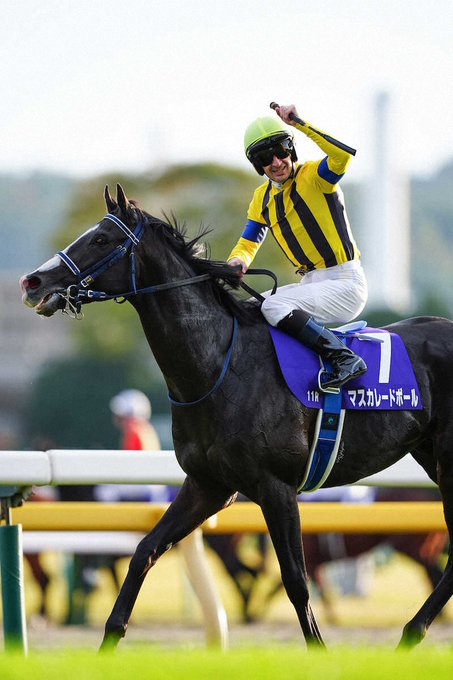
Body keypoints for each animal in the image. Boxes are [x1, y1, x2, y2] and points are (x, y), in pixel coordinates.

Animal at [19, 184, 453, 650]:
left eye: (101, 239)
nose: (32, 282)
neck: (219, 367)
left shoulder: (276, 487)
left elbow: (295, 580)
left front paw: (319, 650)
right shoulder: (208, 485)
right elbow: (144, 551)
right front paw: (108, 642)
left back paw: (411, 632)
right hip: (430, 457)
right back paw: (411, 632)